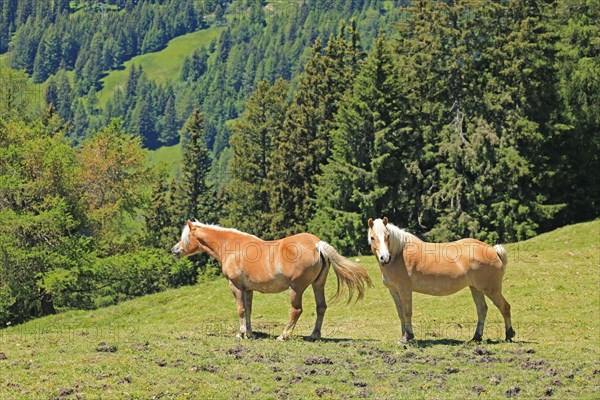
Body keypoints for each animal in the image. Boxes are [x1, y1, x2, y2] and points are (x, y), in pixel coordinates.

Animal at [171, 222, 372, 340]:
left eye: (185, 237)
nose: (174, 250)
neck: (231, 247)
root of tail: (316, 244)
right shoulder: (248, 289)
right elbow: (248, 310)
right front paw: (249, 333)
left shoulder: (235, 286)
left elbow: (241, 309)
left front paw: (241, 333)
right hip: (318, 285)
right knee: (321, 307)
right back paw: (314, 335)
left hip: (296, 289)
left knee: (296, 310)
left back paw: (283, 335)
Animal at [368, 217, 512, 342]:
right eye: (372, 237)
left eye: (387, 236)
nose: (385, 258)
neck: (399, 254)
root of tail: (493, 250)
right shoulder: (394, 291)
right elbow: (401, 313)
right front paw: (403, 337)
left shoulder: (405, 290)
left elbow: (407, 312)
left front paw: (408, 336)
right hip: (476, 289)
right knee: (482, 310)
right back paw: (476, 337)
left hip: (491, 290)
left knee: (504, 307)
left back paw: (509, 335)